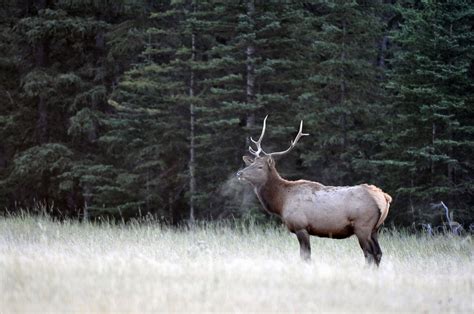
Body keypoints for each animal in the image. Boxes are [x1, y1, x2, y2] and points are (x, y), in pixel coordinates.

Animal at [237, 116, 392, 266]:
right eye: (251, 163)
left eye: (260, 167)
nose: (239, 173)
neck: (281, 202)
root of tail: (384, 198)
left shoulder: (301, 226)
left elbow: (305, 256)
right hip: (375, 229)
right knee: (378, 253)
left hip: (362, 226)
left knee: (369, 254)